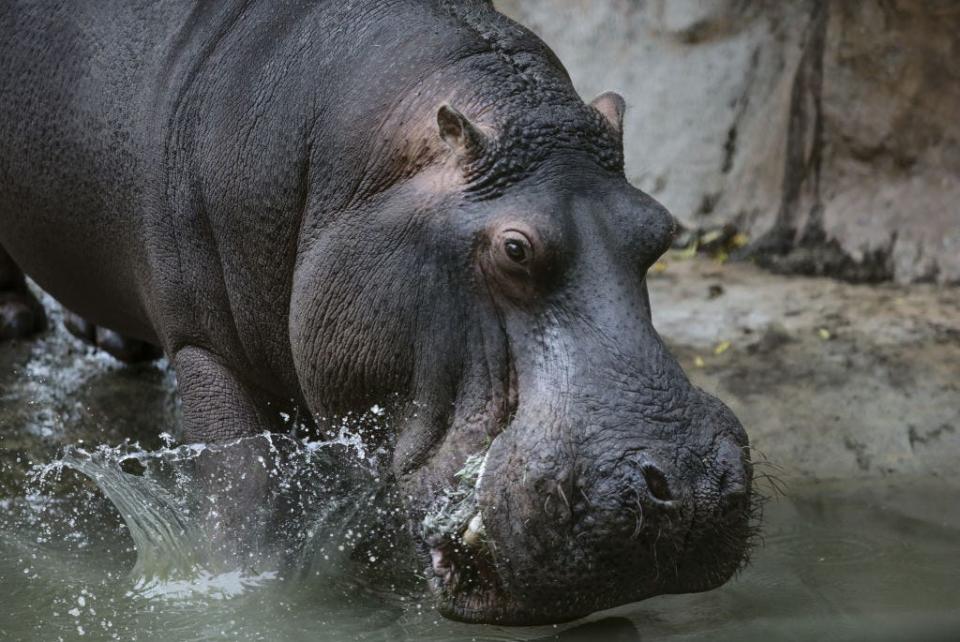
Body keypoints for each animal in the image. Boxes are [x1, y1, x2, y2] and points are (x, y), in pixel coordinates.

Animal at [0, 0, 752, 624]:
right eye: (514, 248)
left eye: (662, 229)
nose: (689, 490)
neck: (373, 172)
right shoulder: (202, 346)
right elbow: (245, 495)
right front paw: (249, 595)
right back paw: (17, 322)